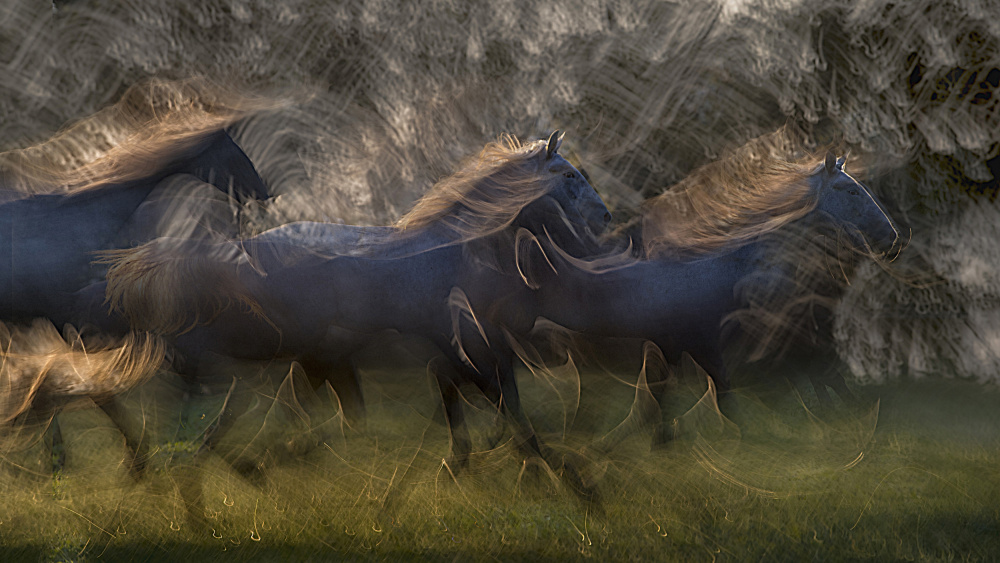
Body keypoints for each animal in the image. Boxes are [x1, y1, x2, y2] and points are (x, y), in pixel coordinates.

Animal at [101, 132, 608, 494]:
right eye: (569, 175)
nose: (604, 217)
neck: (454, 250)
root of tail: (241, 251)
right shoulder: (464, 348)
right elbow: (507, 413)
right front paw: (569, 482)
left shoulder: (453, 352)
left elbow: (476, 410)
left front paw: (466, 467)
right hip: (284, 350)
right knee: (229, 399)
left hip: (299, 355)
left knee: (249, 406)